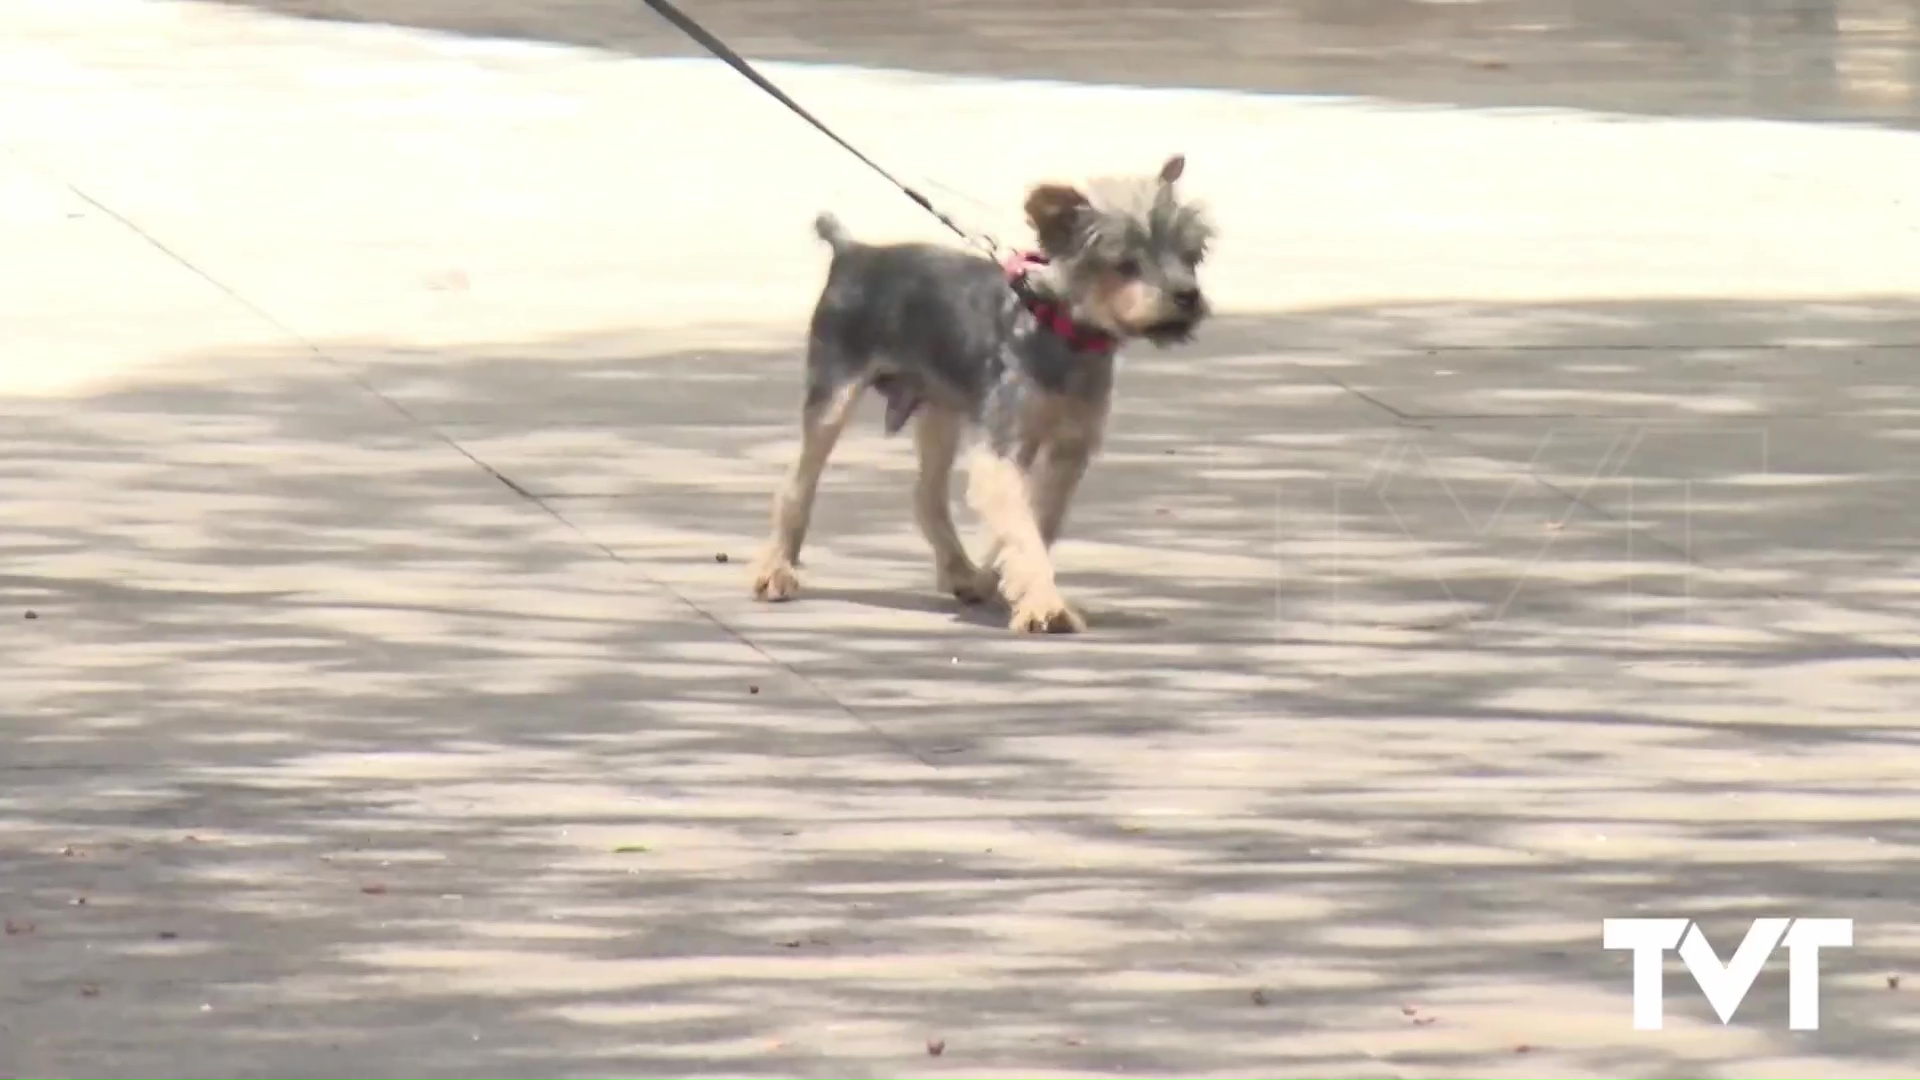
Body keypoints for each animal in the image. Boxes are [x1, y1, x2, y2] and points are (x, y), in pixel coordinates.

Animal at [748, 151, 1213, 630]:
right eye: (1125, 264)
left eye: (1192, 256)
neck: (1059, 329)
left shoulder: (1068, 449)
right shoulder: (1004, 448)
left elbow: (1038, 521)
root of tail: (853, 252)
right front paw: (1043, 604)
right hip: (834, 393)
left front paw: (1001, 580)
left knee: (927, 494)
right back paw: (777, 569)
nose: (1188, 295)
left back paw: (960, 571)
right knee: (800, 482)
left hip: (939, 408)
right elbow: (1022, 528)